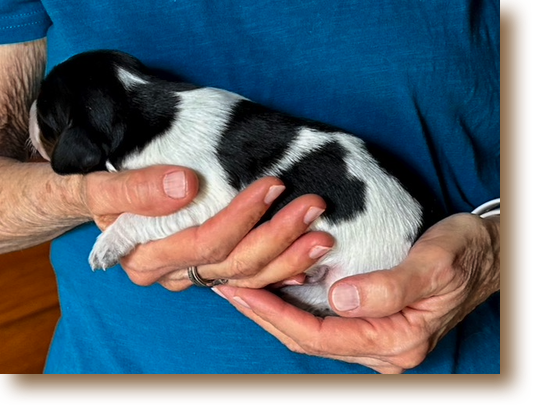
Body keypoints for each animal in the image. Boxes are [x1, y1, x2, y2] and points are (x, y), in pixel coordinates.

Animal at [29, 50, 438, 316]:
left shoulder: (202, 195)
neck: (135, 103)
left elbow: (137, 217)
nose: (29, 111)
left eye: (46, 113)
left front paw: (107, 243)